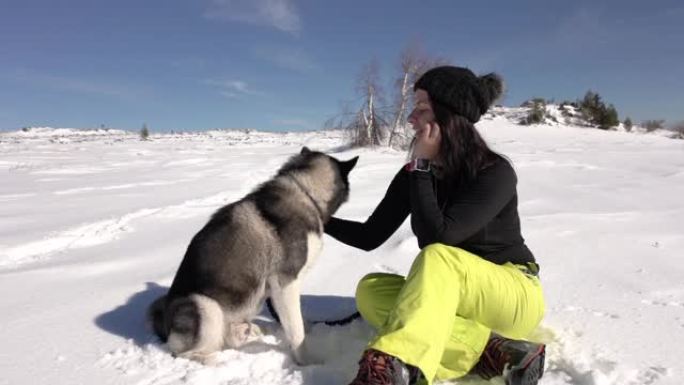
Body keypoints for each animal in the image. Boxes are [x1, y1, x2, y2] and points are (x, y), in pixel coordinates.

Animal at [148, 146, 358, 364]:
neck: (305, 192)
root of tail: (164, 321)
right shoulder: (286, 283)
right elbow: (296, 332)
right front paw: (306, 362)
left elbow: (296, 321)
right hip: (205, 307)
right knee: (186, 354)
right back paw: (220, 361)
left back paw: (248, 331)